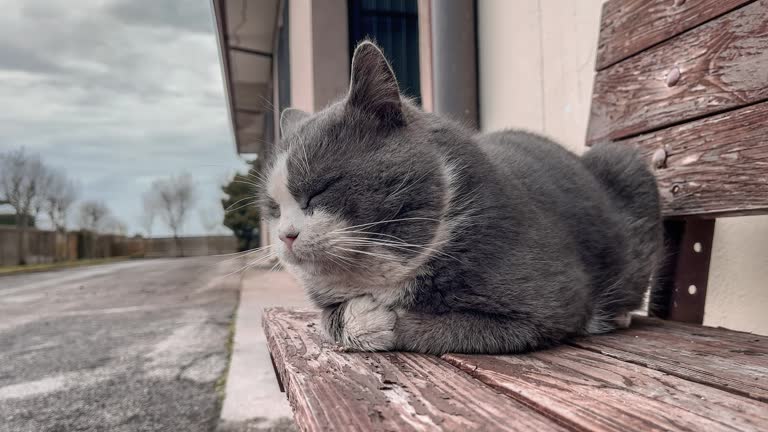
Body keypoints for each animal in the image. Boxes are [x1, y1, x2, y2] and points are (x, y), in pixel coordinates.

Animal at [262, 41, 660, 354]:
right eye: (273, 209)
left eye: (320, 189)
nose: (285, 235)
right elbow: (327, 319)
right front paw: (357, 317)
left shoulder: (554, 303)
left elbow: (431, 326)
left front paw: (379, 321)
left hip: (623, 161)